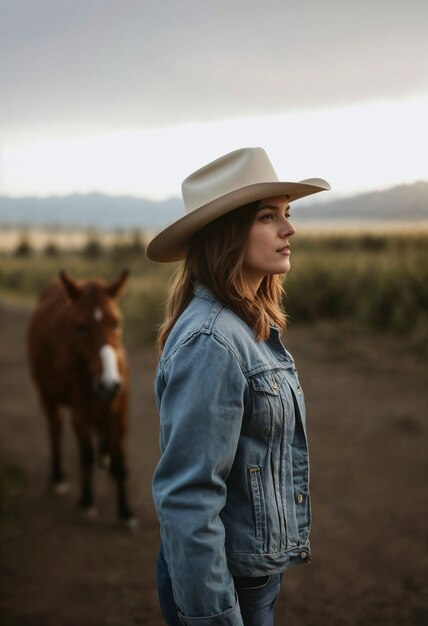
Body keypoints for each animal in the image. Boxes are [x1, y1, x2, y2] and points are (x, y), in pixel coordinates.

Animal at [27, 268, 135, 528]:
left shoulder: (121, 411)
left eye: (116, 322)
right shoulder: (80, 410)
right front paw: (87, 502)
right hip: (45, 392)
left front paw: (125, 512)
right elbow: (85, 455)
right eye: (80, 327)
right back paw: (58, 478)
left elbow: (121, 462)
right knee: (55, 428)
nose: (110, 383)